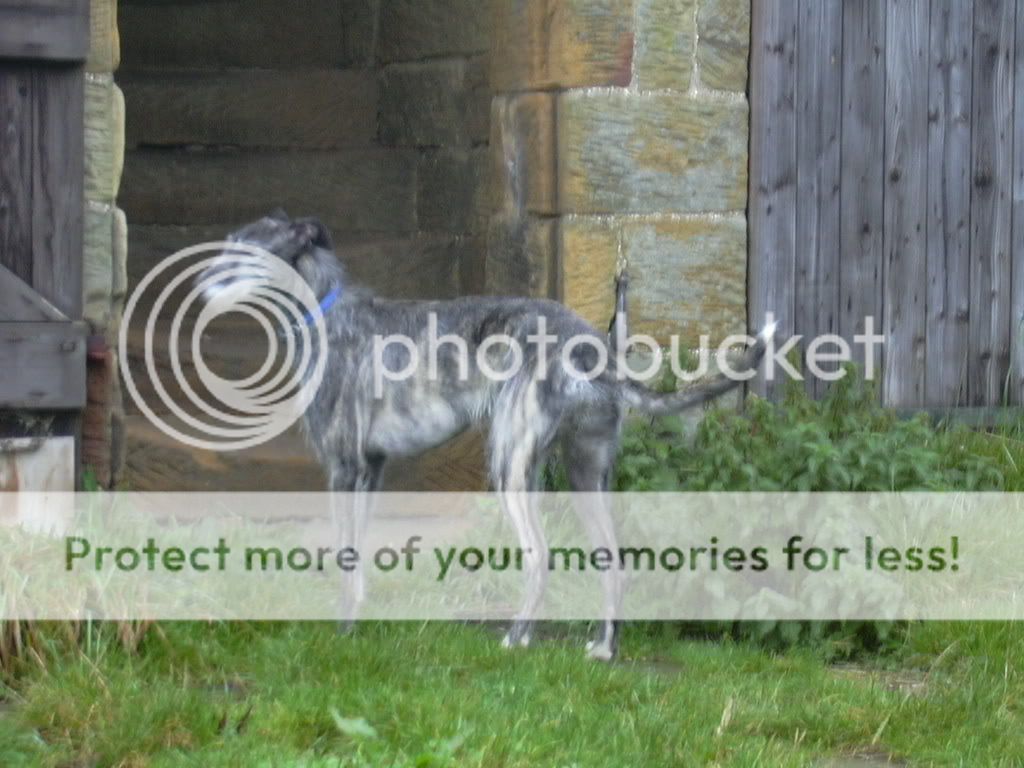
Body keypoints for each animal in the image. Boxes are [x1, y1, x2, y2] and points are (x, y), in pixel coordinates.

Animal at [197, 210, 774, 663]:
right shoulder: (372, 470)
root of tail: (594, 348)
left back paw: (517, 638)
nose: (197, 290)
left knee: (541, 555)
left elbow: (344, 556)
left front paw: (340, 634)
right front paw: (354, 624)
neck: (323, 310)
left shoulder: (344, 467)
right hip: (587, 470)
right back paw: (604, 649)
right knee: (614, 560)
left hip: (512, 464)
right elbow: (357, 558)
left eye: (243, 249)